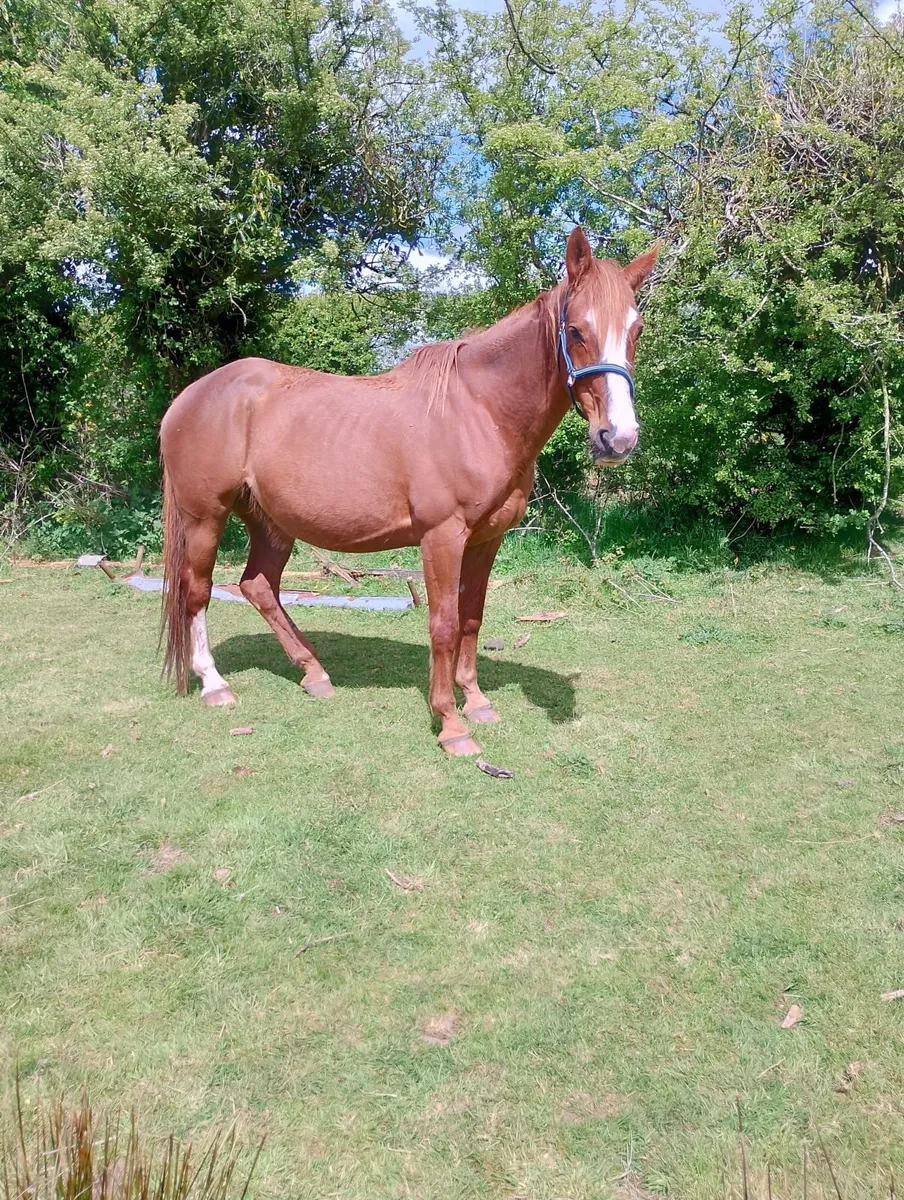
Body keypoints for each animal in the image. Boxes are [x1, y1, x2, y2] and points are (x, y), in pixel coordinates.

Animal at [159, 226, 659, 755]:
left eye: (636, 330)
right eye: (578, 330)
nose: (618, 438)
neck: (479, 412)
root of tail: (187, 399)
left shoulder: (486, 539)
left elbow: (471, 617)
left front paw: (475, 701)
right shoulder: (442, 537)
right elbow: (443, 624)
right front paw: (451, 725)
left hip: (270, 522)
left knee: (258, 586)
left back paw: (315, 674)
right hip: (205, 518)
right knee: (197, 590)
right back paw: (215, 685)